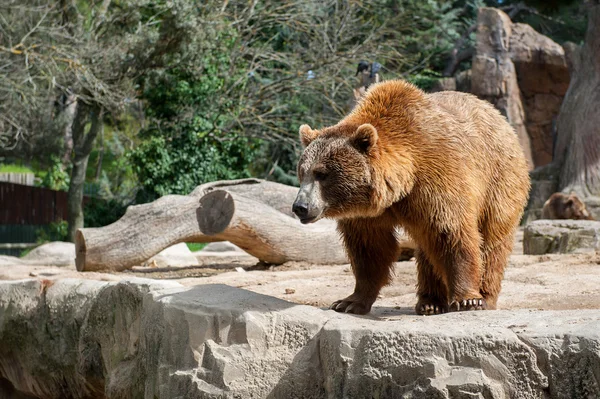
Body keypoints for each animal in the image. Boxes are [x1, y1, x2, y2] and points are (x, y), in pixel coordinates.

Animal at [290, 79, 528, 316]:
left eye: (322, 174)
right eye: (302, 172)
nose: (300, 206)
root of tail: (501, 119)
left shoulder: (437, 180)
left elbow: (451, 234)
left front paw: (468, 299)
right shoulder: (368, 214)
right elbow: (369, 250)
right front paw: (349, 302)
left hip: (499, 182)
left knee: (491, 241)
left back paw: (484, 297)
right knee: (427, 248)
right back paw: (430, 303)